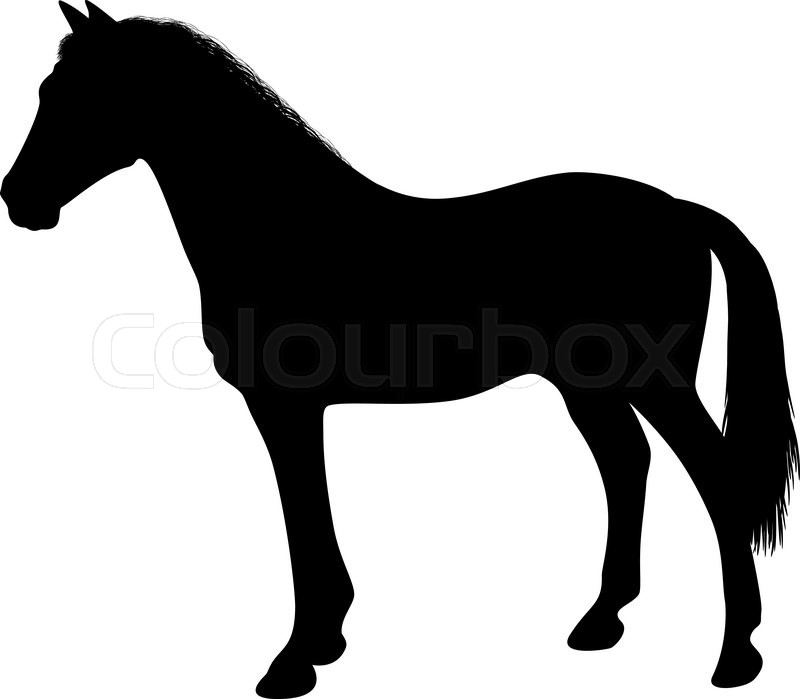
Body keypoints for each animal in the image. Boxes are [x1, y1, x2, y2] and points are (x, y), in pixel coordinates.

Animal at [2, 3, 797, 697]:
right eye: (47, 91)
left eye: (80, 95)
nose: (19, 200)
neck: (283, 223)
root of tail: (678, 210)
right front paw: (324, 641)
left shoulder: (284, 407)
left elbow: (304, 523)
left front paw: (297, 659)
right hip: (588, 384)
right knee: (627, 463)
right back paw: (603, 621)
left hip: (655, 381)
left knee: (714, 479)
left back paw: (736, 655)